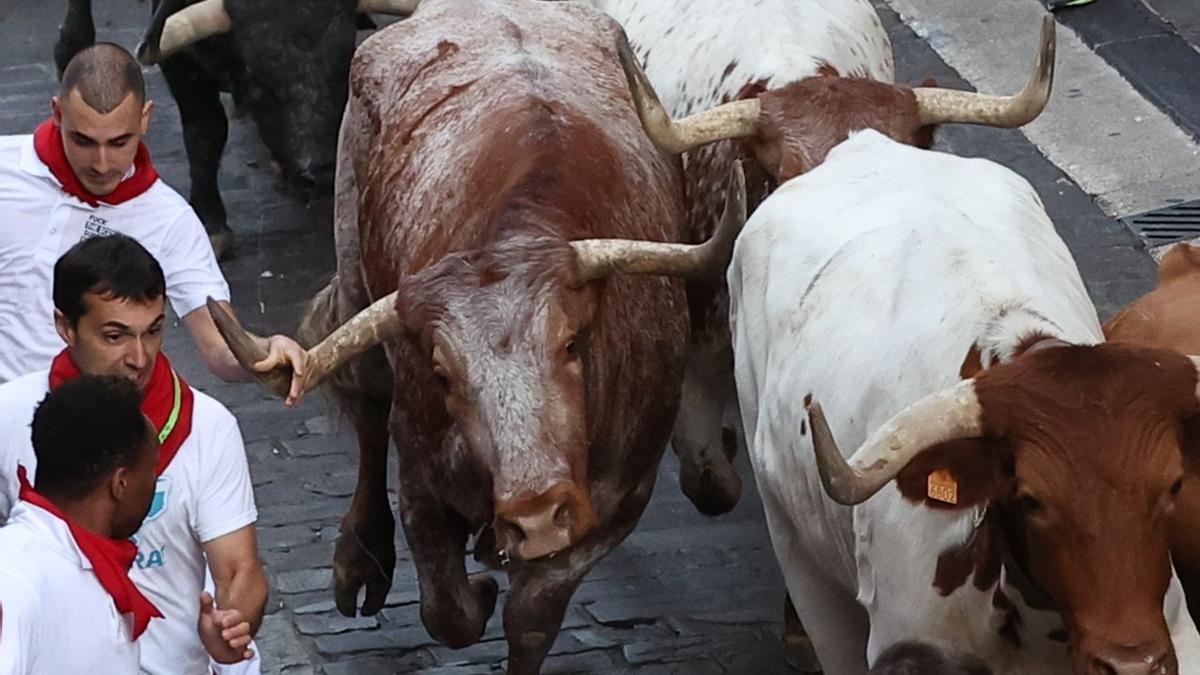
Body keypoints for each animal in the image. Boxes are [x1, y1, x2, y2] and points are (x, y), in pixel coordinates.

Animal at [211, 1, 744, 667]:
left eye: (572, 344)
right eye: (443, 373)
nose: (535, 516)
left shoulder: (618, 501)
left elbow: (531, 618)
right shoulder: (420, 483)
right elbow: (450, 613)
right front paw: (479, 589)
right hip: (355, 267)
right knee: (367, 408)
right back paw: (361, 559)